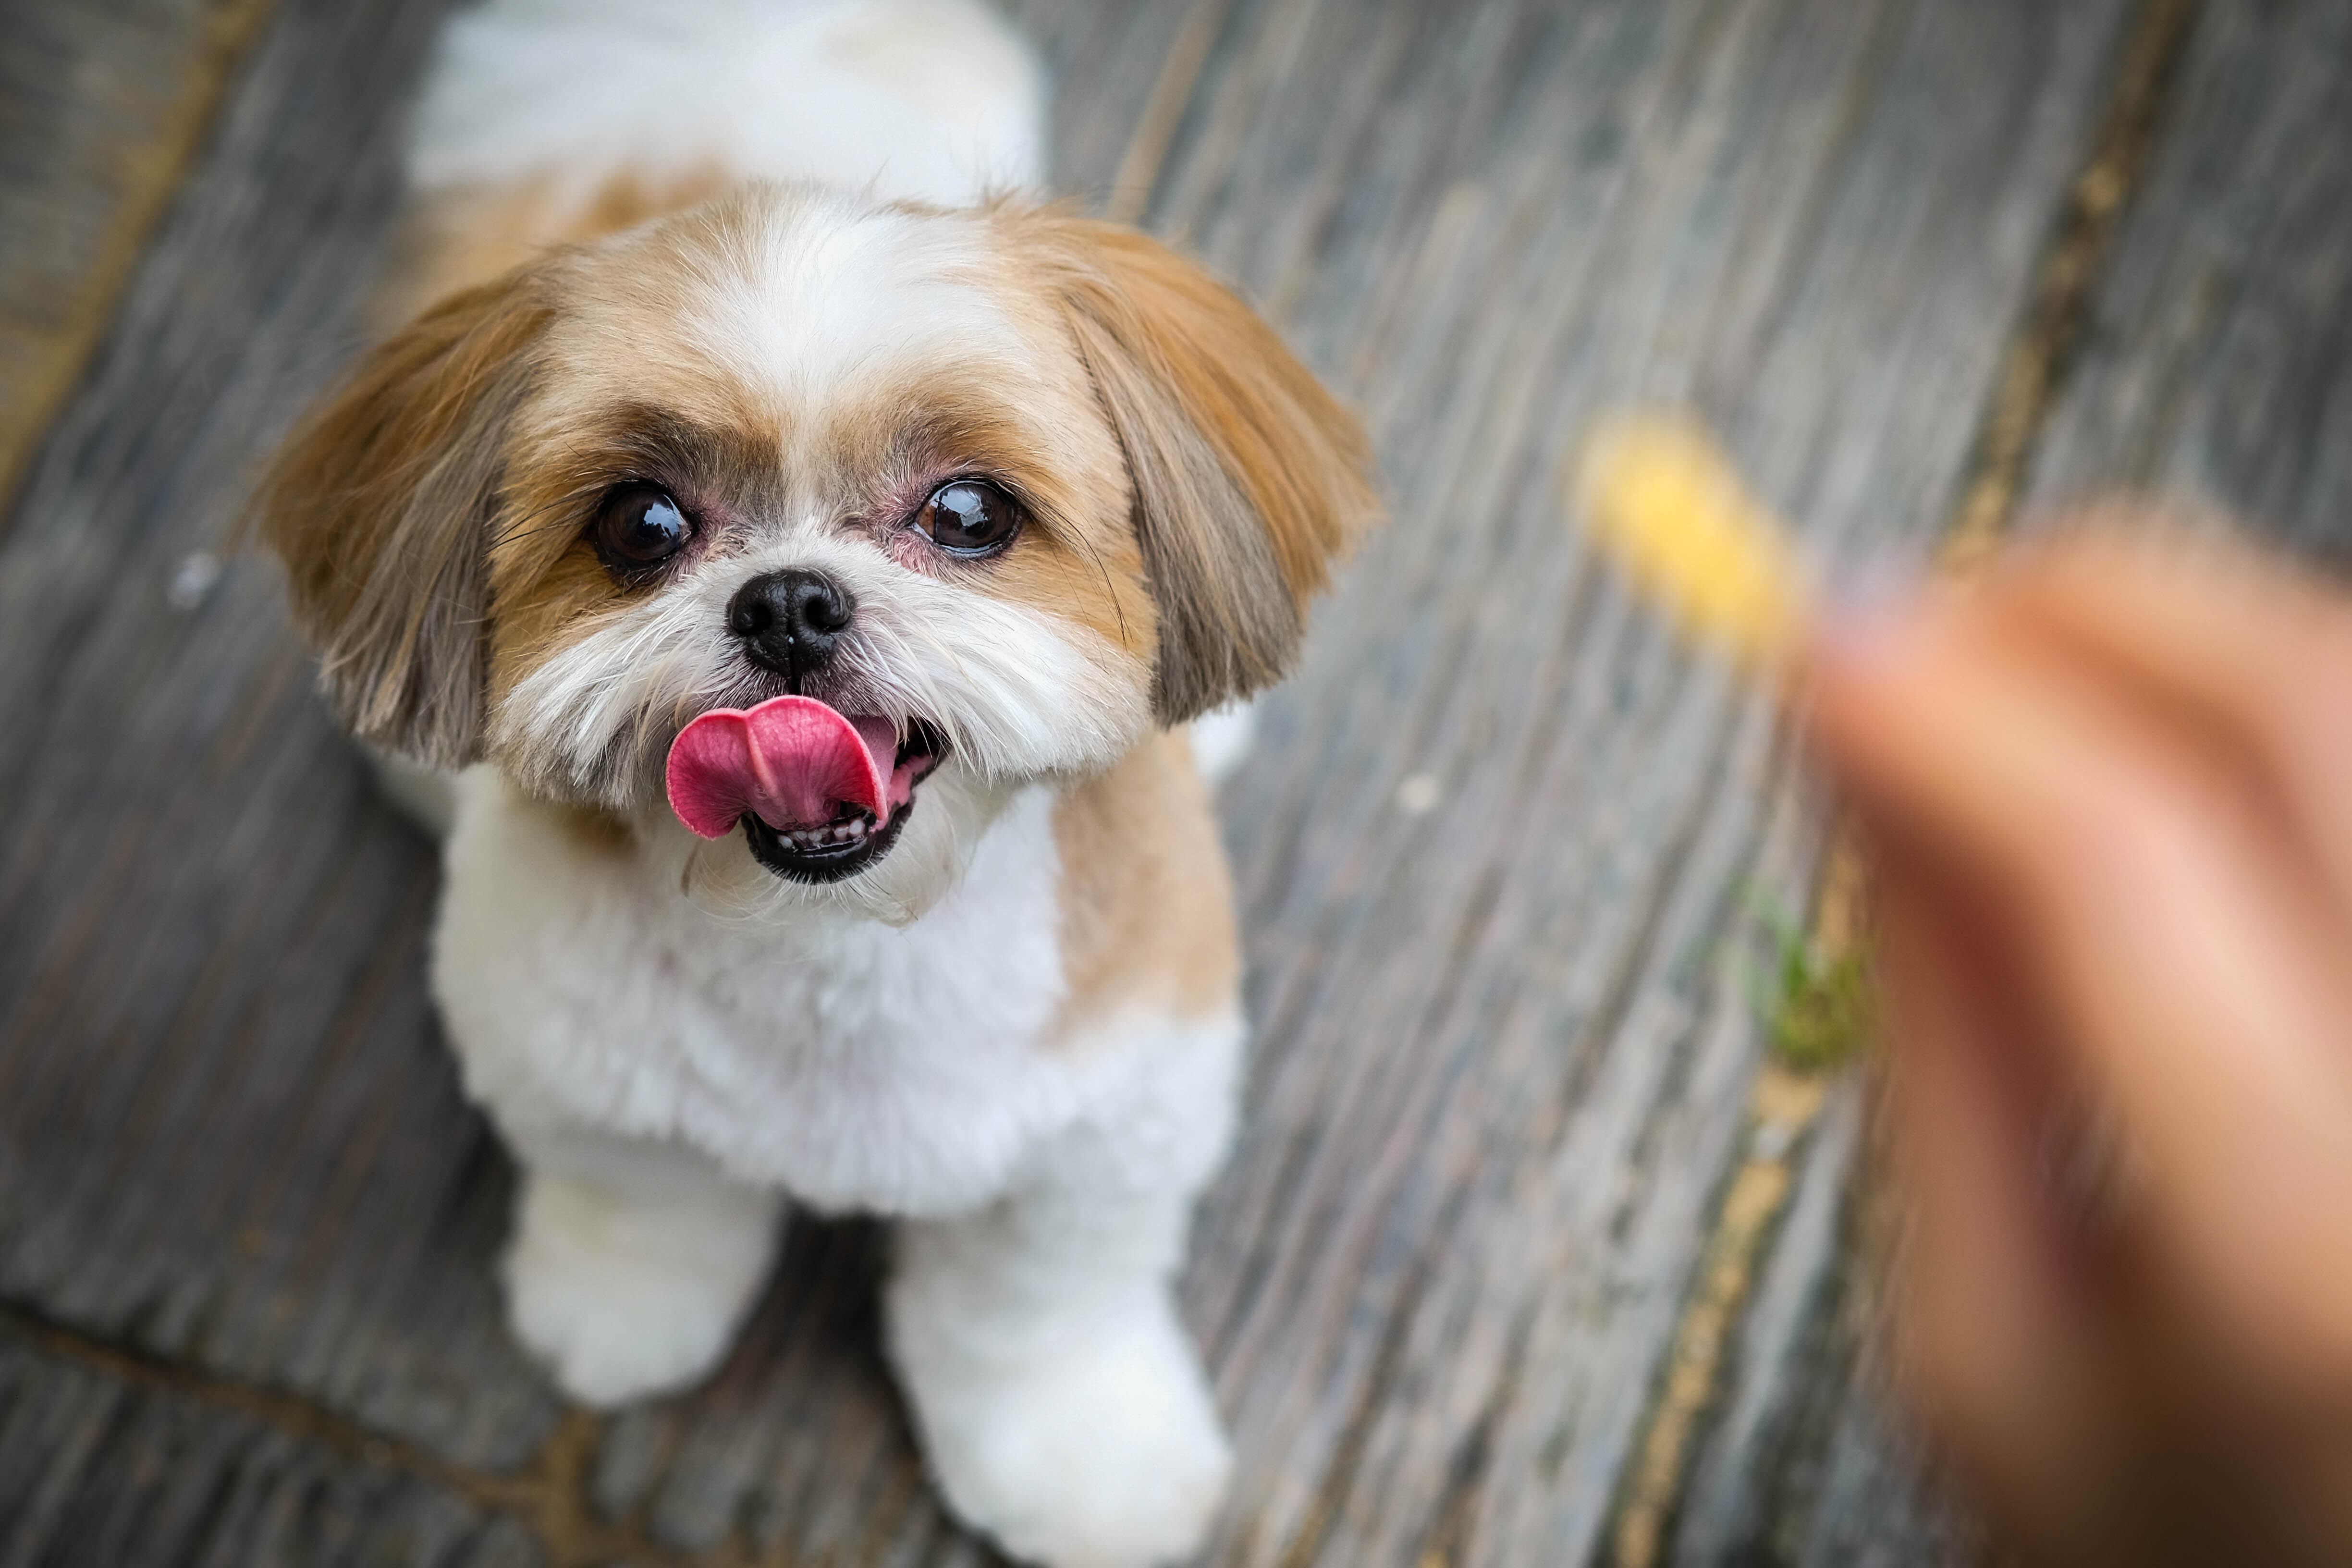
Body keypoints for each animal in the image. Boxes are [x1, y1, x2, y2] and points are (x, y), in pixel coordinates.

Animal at [262, 3, 1373, 1568]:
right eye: (641, 523)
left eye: (968, 513)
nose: (789, 602)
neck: (844, 955)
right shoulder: (581, 1074)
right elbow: (646, 1202)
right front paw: (618, 1313)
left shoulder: (1107, 1128)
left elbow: (1032, 1314)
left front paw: (1079, 1458)